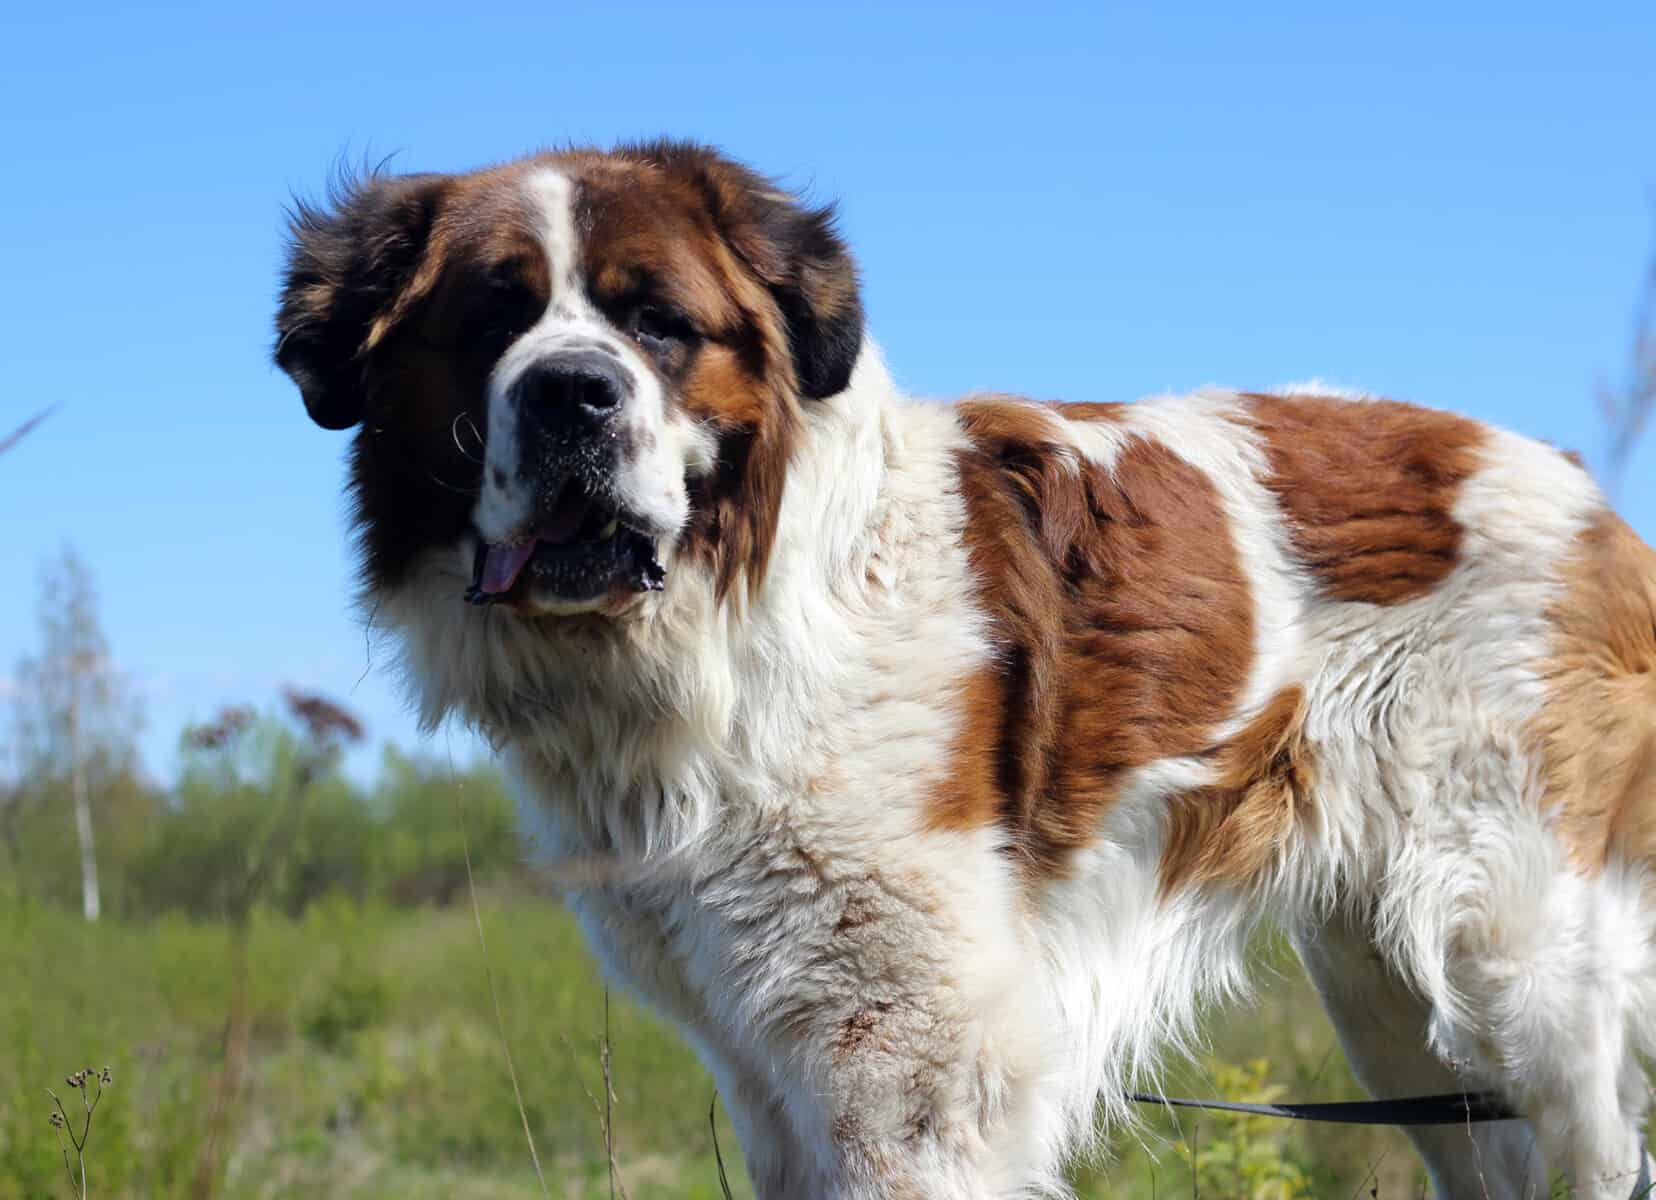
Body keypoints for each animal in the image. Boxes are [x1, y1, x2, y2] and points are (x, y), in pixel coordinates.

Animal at [275, 141, 1656, 1198]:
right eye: (491, 320)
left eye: (659, 323)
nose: (572, 394)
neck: (738, 634)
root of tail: (1585, 496)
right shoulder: (769, 1067)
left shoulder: (906, 1058)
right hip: (1390, 998)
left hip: (1518, 959)